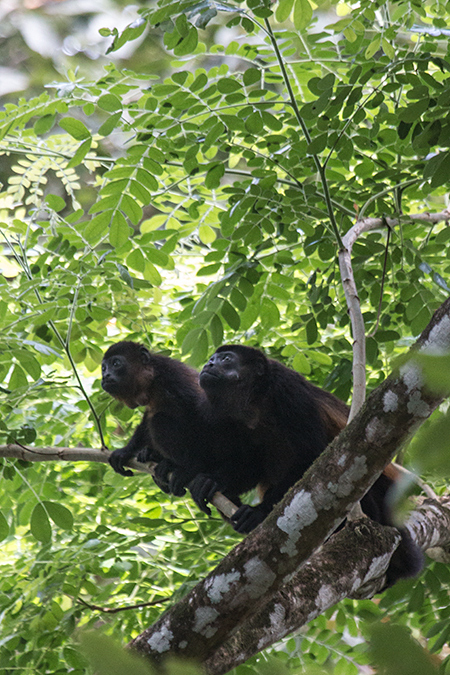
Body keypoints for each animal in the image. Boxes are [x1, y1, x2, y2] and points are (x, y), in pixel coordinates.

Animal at [102, 344, 207, 496]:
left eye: (116, 363)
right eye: (104, 368)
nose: (105, 376)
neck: (152, 380)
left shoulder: (172, 375)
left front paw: (191, 469)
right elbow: (147, 418)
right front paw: (126, 451)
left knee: (159, 420)